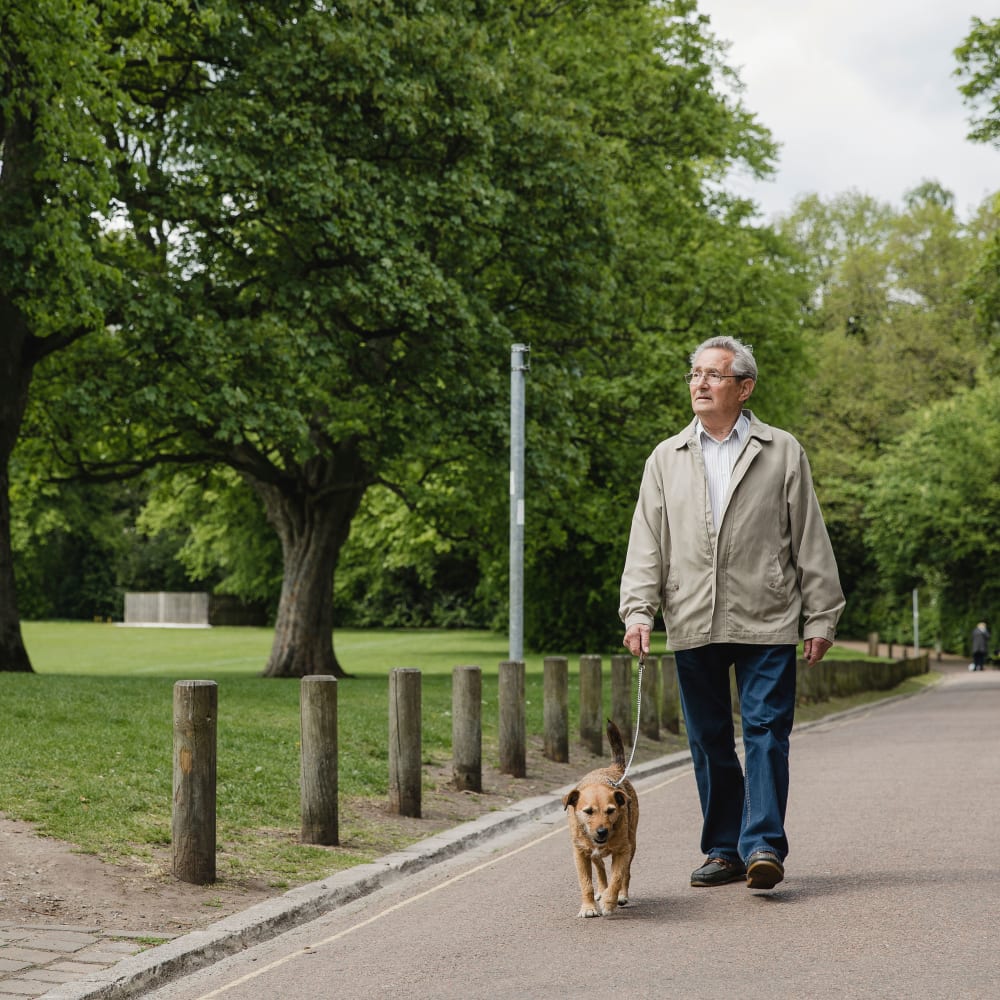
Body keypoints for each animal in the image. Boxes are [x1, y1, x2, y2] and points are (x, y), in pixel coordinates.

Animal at [564, 716, 640, 916]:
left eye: (611, 810)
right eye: (588, 811)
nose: (601, 832)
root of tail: (615, 769)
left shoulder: (623, 851)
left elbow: (617, 877)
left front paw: (609, 901)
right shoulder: (580, 854)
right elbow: (586, 883)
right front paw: (589, 907)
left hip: (632, 843)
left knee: (626, 873)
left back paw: (620, 895)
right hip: (593, 854)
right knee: (600, 867)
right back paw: (601, 889)